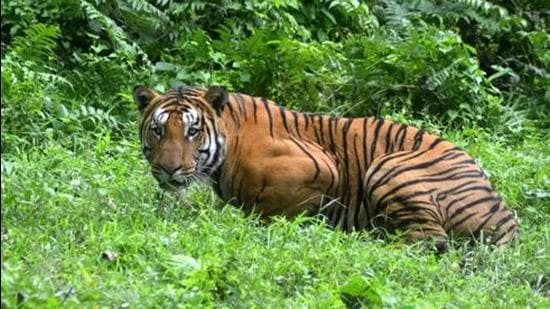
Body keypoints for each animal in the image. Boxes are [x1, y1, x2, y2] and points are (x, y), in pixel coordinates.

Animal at [135, 84, 520, 248]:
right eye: (158, 130)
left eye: (192, 131)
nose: (168, 169)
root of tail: (504, 214)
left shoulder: (321, 167)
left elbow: (271, 211)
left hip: (389, 166)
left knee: (430, 239)